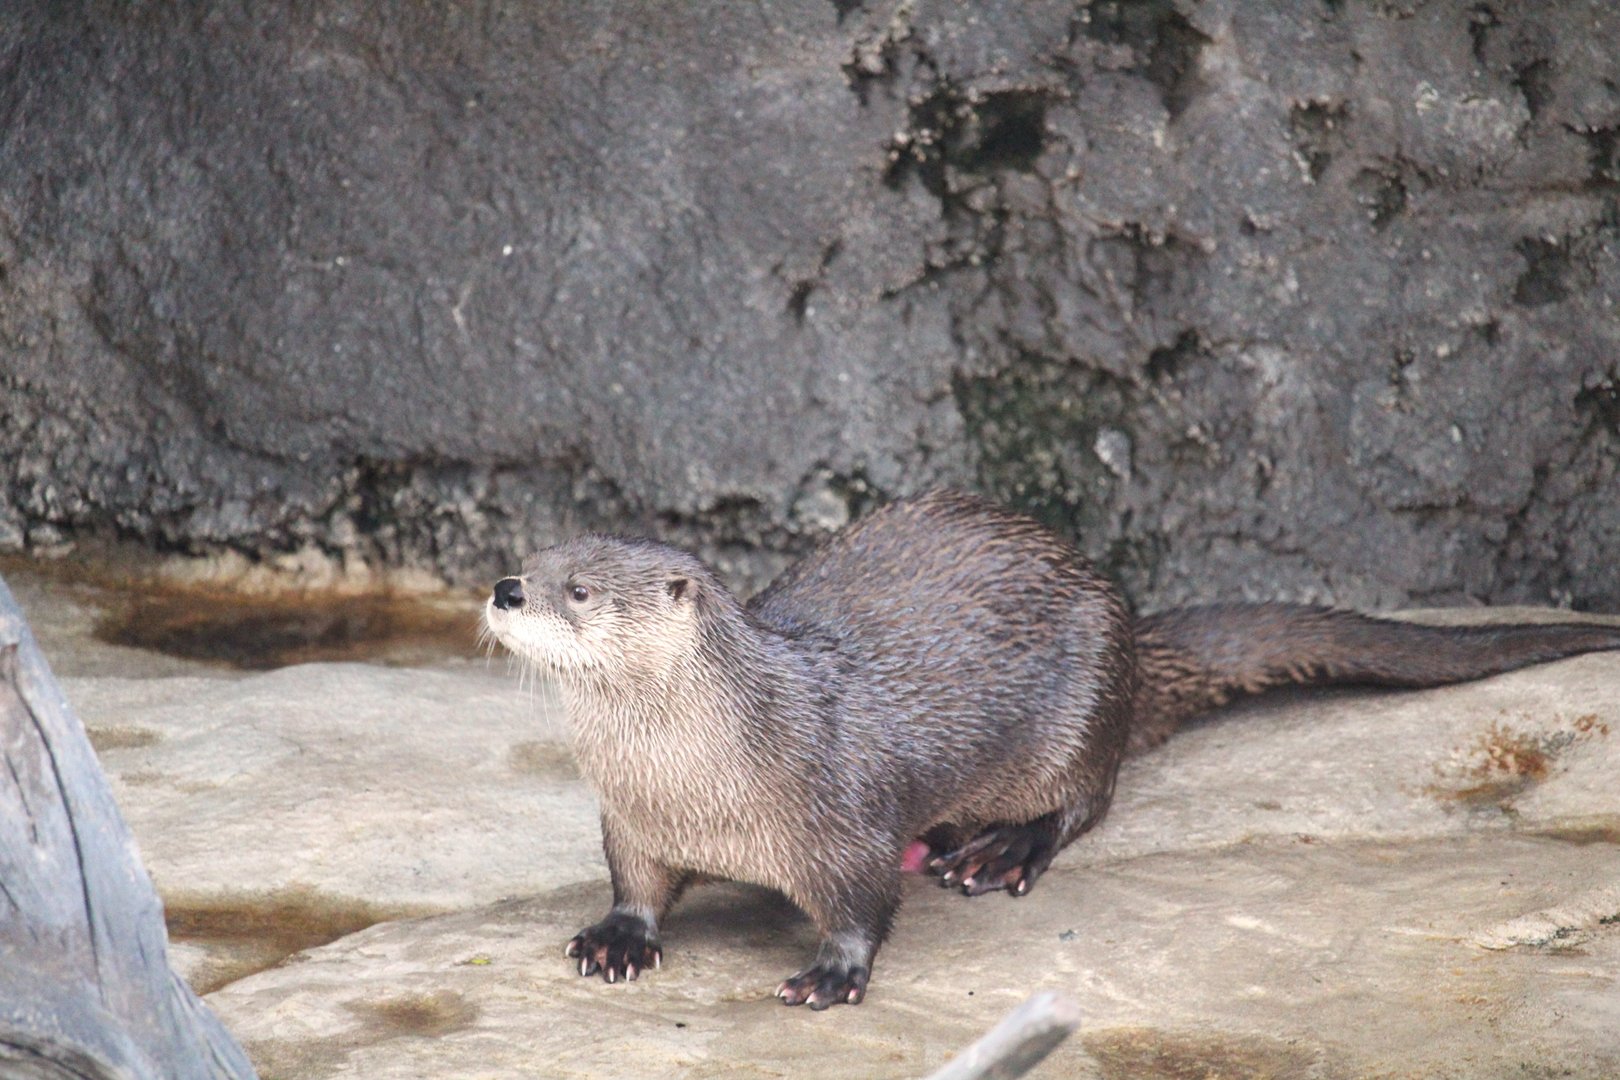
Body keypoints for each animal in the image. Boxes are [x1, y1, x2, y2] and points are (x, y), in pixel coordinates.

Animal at [483, 490, 1620, 1009]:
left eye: (578, 589)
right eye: (530, 559)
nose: (503, 589)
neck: (700, 783)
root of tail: (1127, 619)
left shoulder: (838, 819)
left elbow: (861, 907)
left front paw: (832, 974)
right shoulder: (631, 820)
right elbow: (635, 884)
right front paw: (618, 938)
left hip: (1080, 708)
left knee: (1087, 798)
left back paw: (998, 852)